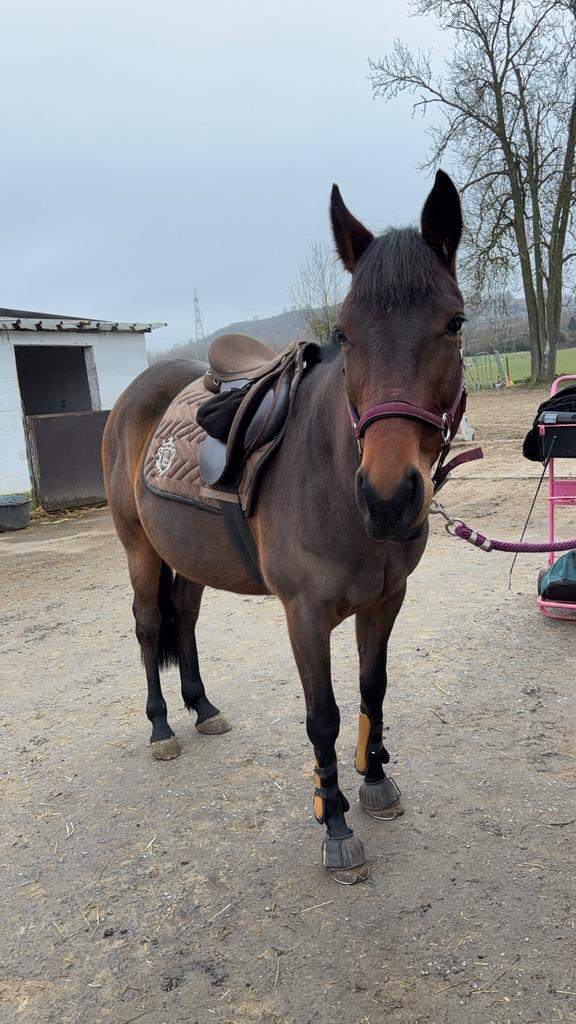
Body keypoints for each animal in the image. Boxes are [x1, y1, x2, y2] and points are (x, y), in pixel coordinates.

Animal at [102, 170, 466, 883]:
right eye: (345, 333)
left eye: (454, 323)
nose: (387, 496)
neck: (334, 480)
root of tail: (135, 391)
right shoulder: (305, 614)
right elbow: (322, 717)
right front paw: (335, 824)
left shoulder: (386, 600)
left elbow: (373, 689)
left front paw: (375, 781)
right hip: (139, 551)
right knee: (150, 625)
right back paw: (162, 727)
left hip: (188, 559)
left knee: (185, 619)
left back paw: (202, 707)